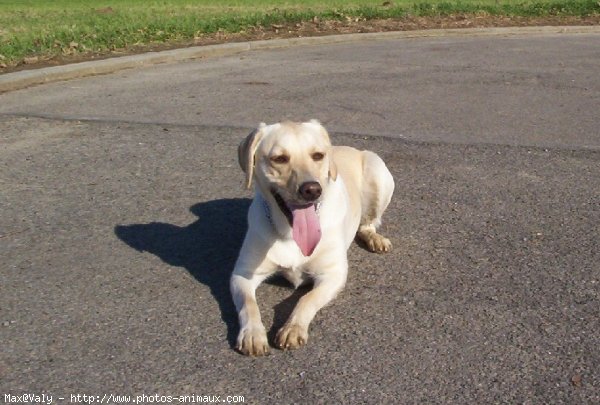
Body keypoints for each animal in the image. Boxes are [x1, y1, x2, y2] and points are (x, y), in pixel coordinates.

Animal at [230, 119, 394, 354]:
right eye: (279, 158)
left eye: (317, 155)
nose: (312, 189)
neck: (289, 233)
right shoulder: (242, 274)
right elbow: (248, 304)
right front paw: (252, 333)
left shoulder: (333, 274)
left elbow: (307, 299)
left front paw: (293, 327)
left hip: (378, 170)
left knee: (368, 224)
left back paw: (375, 239)